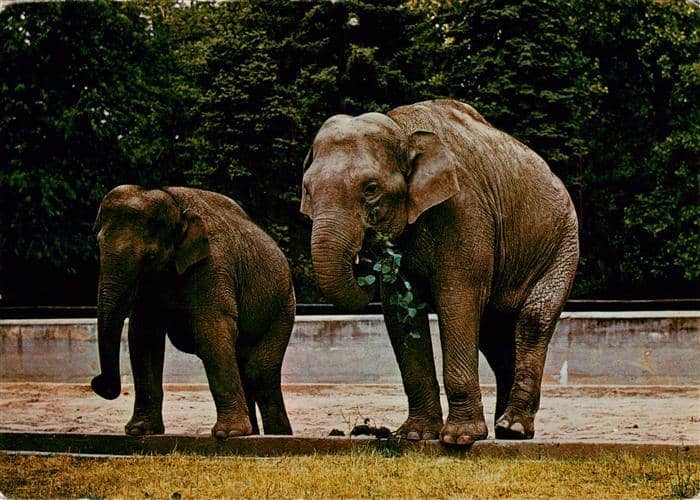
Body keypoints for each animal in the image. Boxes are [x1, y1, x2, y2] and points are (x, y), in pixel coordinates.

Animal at [91, 185, 294, 438]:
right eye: (98, 247)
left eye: (150, 256)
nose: (97, 383)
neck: (175, 203)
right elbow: (144, 337)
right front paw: (140, 431)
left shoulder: (213, 265)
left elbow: (211, 330)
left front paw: (227, 434)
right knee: (244, 367)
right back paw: (252, 434)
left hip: (282, 307)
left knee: (259, 373)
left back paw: (277, 436)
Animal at [300, 99, 579, 446]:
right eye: (307, 190)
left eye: (371, 189)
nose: (364, 257)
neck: (402, 131)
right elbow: (400, 310)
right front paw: (414, 435)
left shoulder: (464, 210)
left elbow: (456, 299)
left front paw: (460, 438)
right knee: (494, 337)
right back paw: (504, 431)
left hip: (563, 243)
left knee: (533, 319)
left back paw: (513, 428)